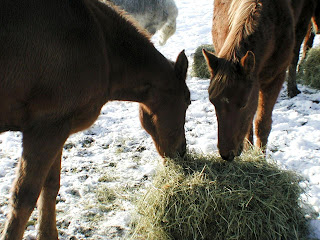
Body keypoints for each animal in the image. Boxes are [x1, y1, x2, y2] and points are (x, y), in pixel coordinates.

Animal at [0, 0, 190, 239]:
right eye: (187, 101)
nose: (182, 151)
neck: (102, 45)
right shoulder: (46, 130)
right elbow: (23, 199)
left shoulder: (59, 129)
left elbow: (50, 186)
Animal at [204, 0, 294, 162]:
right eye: (213, 102)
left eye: (244, 103)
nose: (226, 154)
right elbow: (249, 125)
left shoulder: (275, 79)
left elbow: (262, 124)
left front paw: (261, 158)